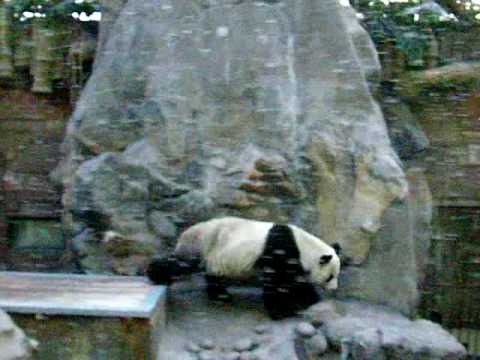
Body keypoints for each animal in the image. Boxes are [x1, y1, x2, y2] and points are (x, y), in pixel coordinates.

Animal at [146, 215, 342, 320]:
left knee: (213, 275)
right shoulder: (280, 250)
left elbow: (295, 281)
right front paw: (283, 311)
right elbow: (278, 282)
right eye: (330, 277)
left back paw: (221, 295)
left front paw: (311, 299)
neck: (304, 246)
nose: (334, 289)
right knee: (181, 263)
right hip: (202, 244)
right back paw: (156, 274)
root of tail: (187, 232)